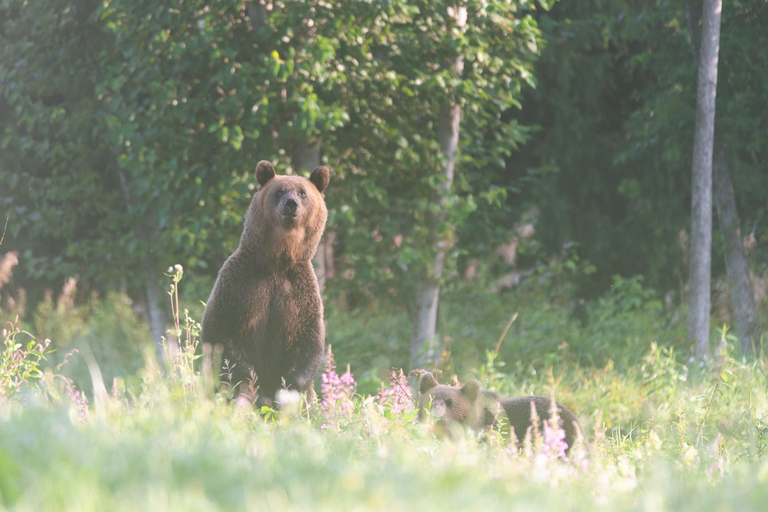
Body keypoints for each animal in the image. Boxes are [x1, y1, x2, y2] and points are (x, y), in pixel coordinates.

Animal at [201, 160, 330, 406]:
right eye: (279, 191)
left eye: (302, 192)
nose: (291, 204)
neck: (277, 262)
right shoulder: (239, 285)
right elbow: (221, 334)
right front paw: (254, 385)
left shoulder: (299, 293)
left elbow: (309, 342)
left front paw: (290, 389)